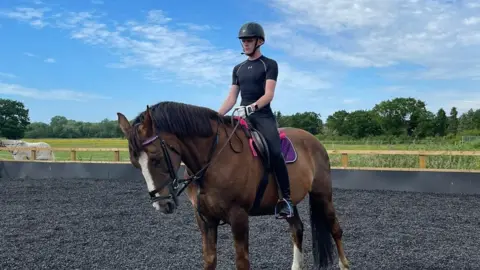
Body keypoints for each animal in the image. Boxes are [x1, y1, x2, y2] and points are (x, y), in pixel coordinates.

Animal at [116, 101, 348, 270]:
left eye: (156, 158)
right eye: (135, 163)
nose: (161, 204)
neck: (212, 160)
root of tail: (314, 140)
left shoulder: (238, 216)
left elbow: (242, 262)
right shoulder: (205, 219)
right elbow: (210, 260)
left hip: (323, 195)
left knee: (335, 229)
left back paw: (344, 265)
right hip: (288, 202)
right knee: (297, 229)